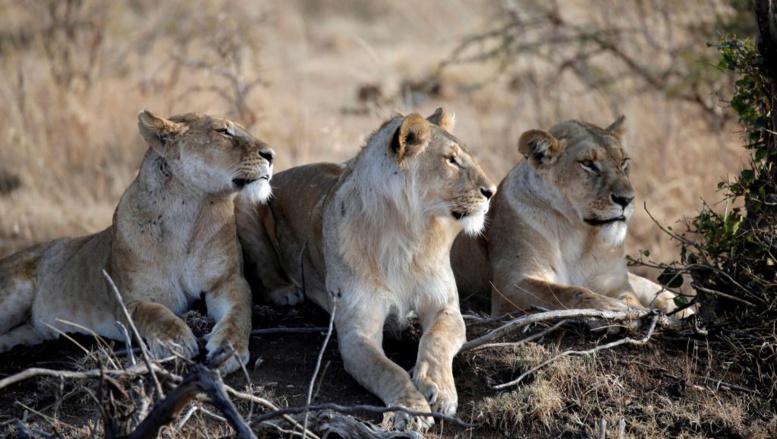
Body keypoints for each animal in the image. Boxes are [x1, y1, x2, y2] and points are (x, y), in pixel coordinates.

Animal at [0, 110, 275, 374]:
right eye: (223, 131)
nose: (271, 155)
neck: (186, 212)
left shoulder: (228, 281)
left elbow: (239, 313)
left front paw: (228, 350)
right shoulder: (125, 302)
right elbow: (153, 312)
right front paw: (175, 341)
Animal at [236, 108, 496, 431]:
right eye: (451, 160)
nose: (491, 191)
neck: (408, 235)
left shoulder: (445, 307)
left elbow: (436, 340)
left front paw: (439, 388)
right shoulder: (356, 331)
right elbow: (389, 371)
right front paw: (409, 409)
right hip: (246, 200)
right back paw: (286, 291)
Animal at [451, 116, 690, 317]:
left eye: (624, 162)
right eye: (588, 164)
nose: (627, 199)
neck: (579, 233)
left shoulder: (616, 282)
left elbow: (629, 297)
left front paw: (634, 307)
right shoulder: (511, 284)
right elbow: (569, 292)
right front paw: (616, 308)